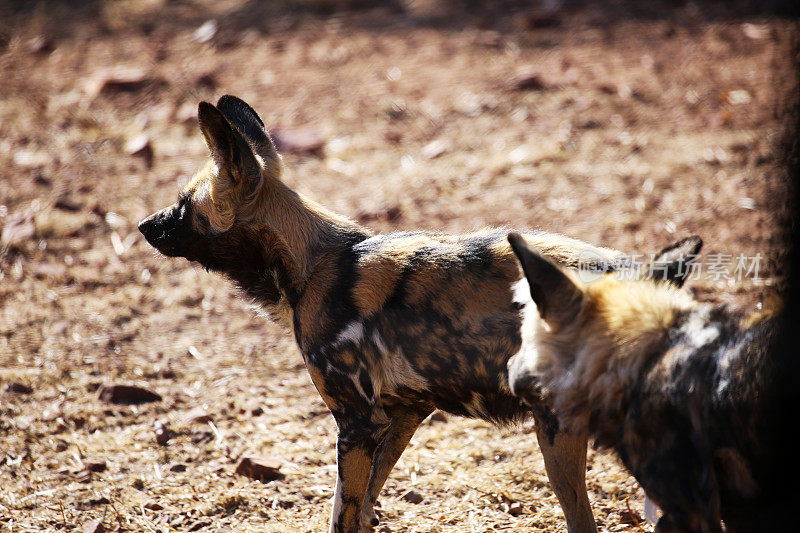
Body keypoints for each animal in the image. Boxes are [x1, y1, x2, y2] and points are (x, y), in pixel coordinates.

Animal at [138, 93, 676, 528]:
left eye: (183, 204)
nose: (144, 225)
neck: (311, 264)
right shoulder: (402, 415)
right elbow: (362, 507)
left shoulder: (357, 422)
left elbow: (344, 513)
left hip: (564, 432)